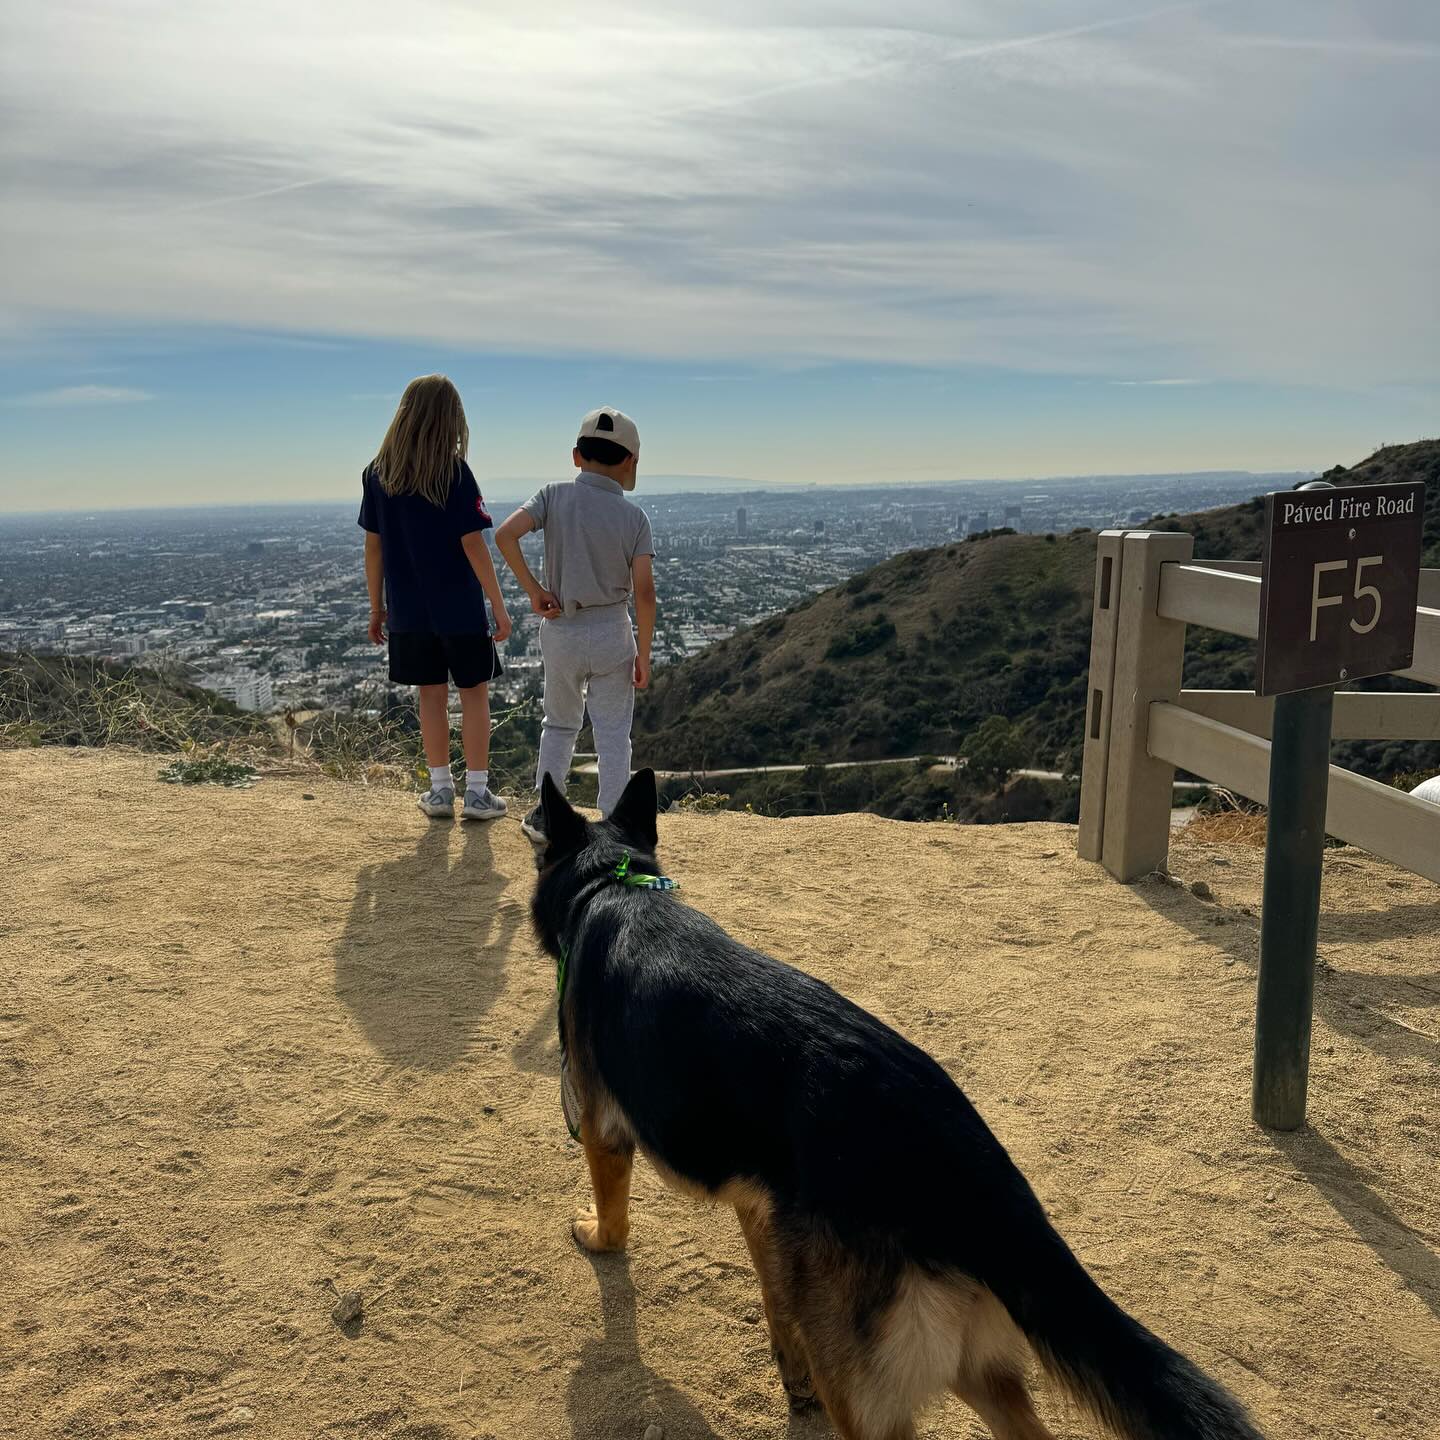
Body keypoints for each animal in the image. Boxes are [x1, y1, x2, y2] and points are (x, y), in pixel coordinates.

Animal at [529, 777, 1261, 1440]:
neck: (612, 885)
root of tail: (978, 1183)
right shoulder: (762, 1211)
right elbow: (774, 1297)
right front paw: (790, 1378)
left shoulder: (600, 1128)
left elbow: (615, 1216)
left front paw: (598, 1236)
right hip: (970, 1363)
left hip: (873, 1397)